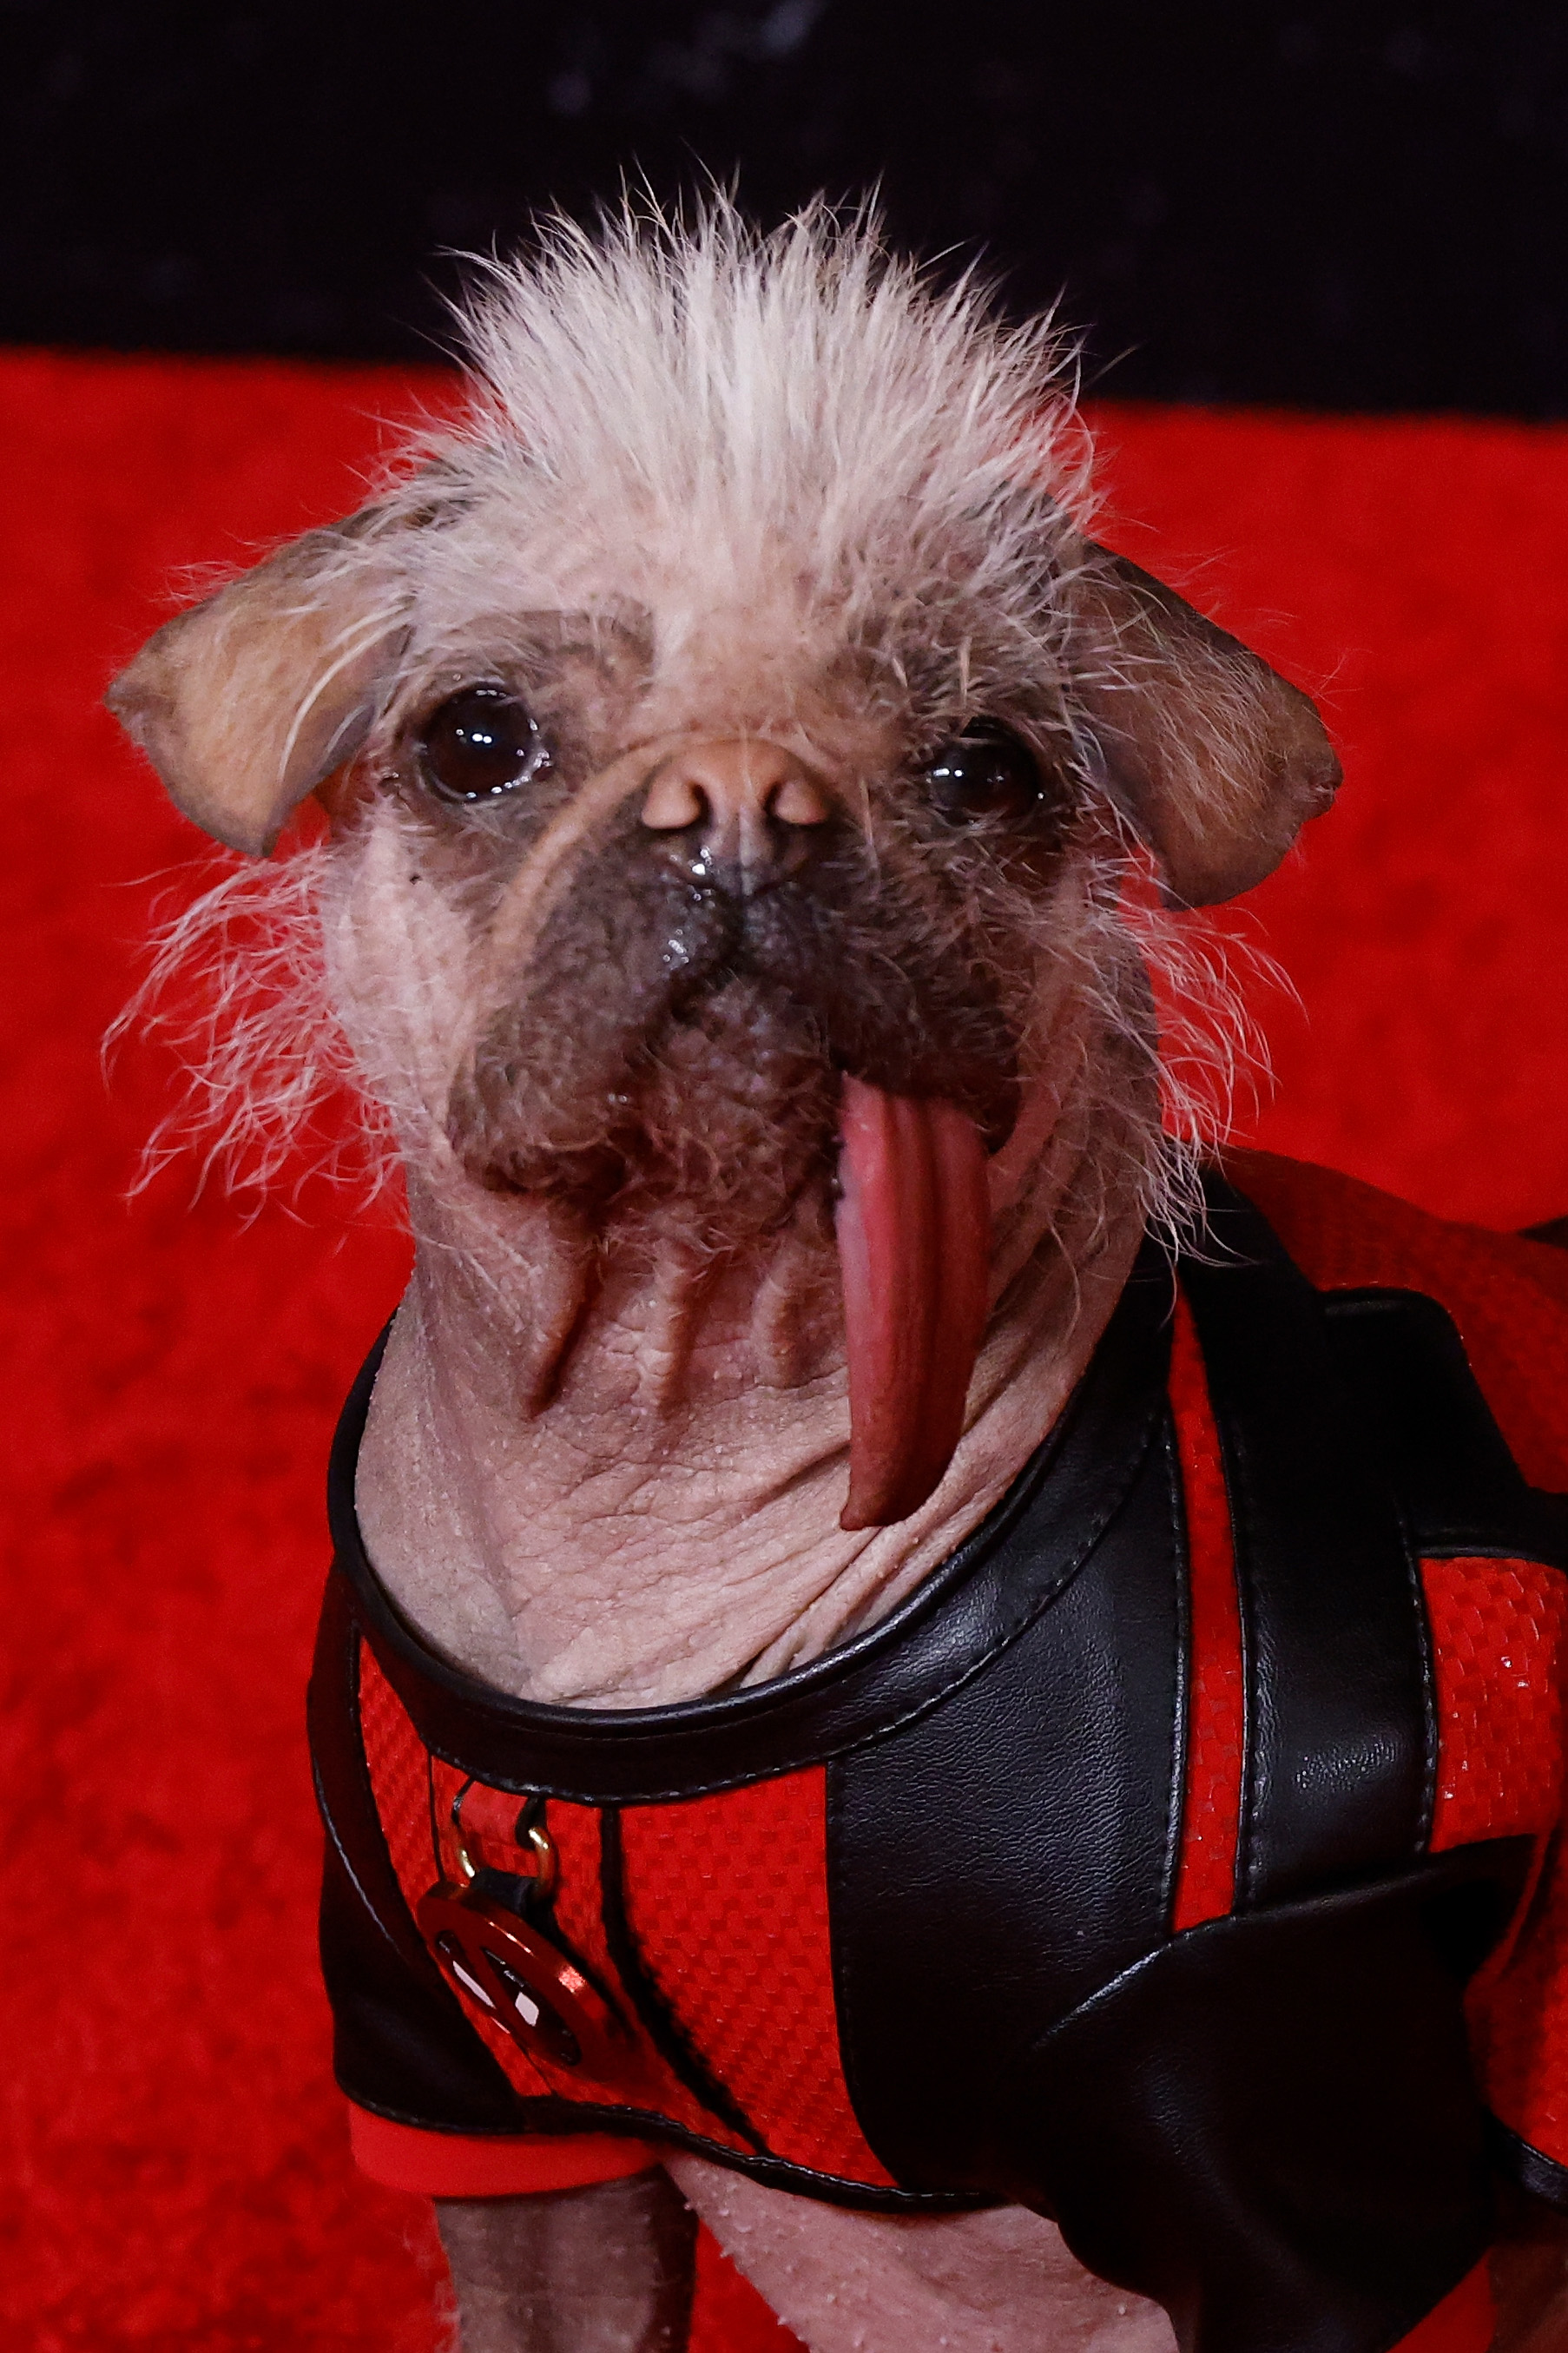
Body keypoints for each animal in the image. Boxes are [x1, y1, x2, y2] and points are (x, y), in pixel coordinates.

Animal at [109, 202, 1563, 2353]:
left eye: (986, 766)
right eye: (475, 738)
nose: (737, 800)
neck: (669, 1501)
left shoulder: (1297, 2159)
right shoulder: (482, 2106)